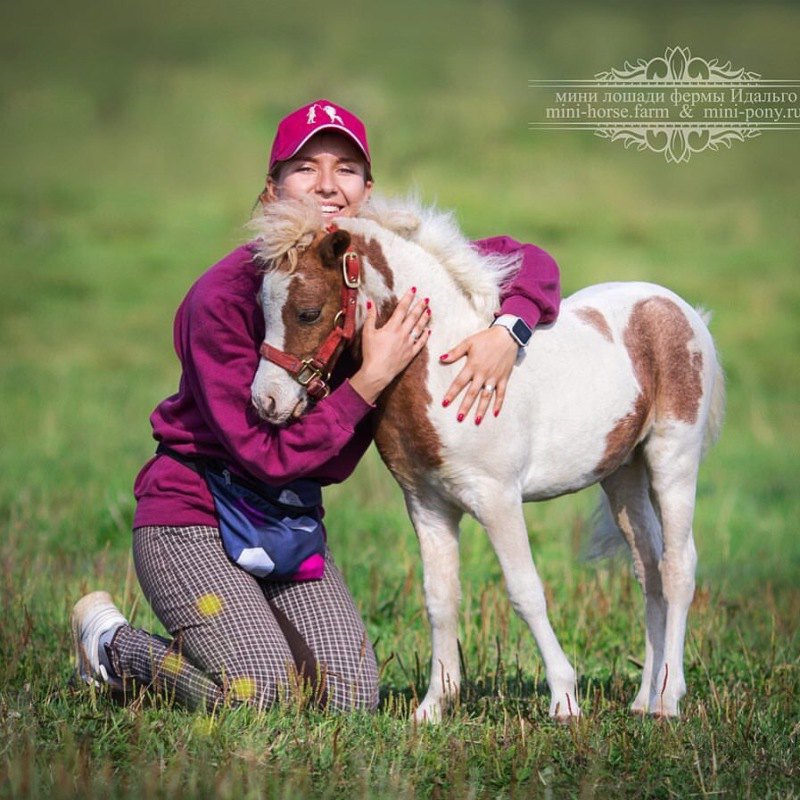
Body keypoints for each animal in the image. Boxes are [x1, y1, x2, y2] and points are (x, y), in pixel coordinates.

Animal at [247, 197, 720, 720]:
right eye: (261, 311)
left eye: (308, 312)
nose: (266, 402)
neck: (446, 368)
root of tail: (680, 309)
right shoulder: (427, 505)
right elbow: (440, 599)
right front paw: (433, 707)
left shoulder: (498, 499)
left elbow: (525, 592)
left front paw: (564, 700)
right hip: (622, 474)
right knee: (648, 569)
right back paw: (642, 700)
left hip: (672, 460)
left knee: (678, 568)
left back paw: (668, 701)